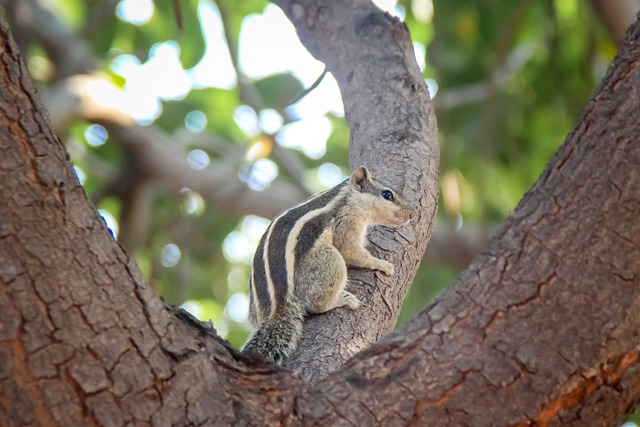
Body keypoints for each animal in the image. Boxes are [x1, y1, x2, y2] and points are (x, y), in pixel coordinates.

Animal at [240, 166, 416, 366]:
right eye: (387, 194)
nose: (412, 214)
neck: (346, 197)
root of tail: (279, 303)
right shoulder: (346, 221)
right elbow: (351, 251)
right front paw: (382, 264)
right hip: (330, 262)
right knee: (317, 304)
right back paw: (341, 300)